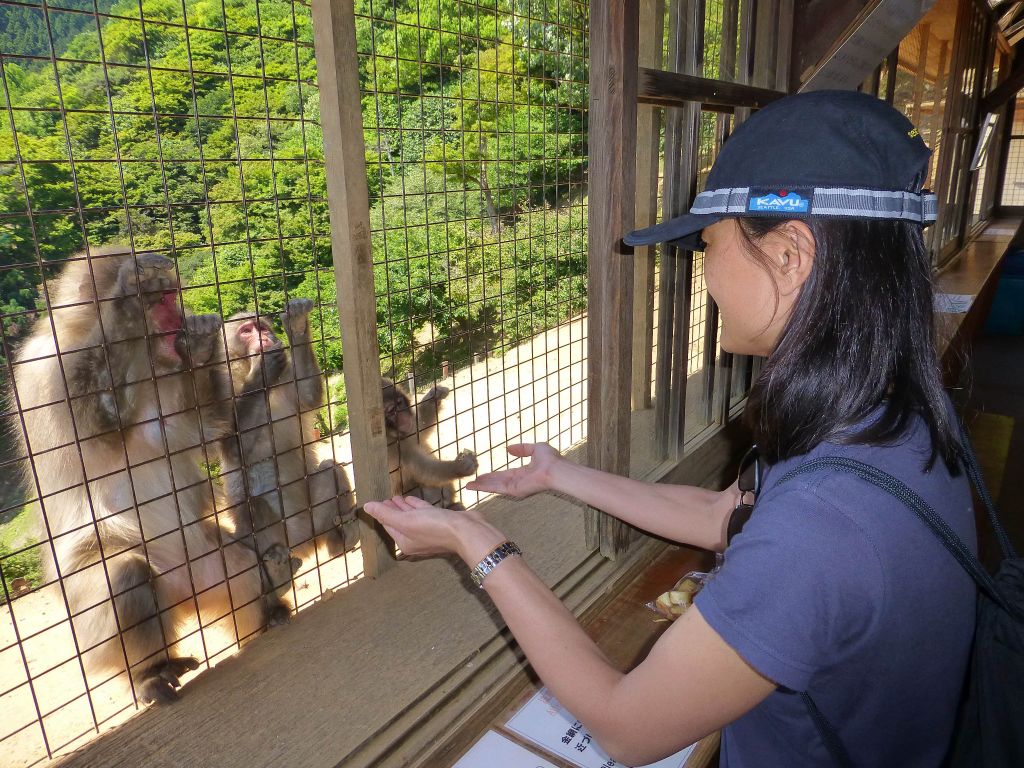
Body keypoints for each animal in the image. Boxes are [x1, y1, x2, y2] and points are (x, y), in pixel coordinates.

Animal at [9, 249, 268, 708]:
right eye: (162, 300)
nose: (177, 317)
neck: (140, 363)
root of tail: (183, 595)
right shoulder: (51, 373)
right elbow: (102, 422)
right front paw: (128, 302)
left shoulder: (166, 370)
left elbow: (193, 429)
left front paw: (208, 344)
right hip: (90, 607)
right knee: (126, 579)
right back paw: (148, 672)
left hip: (205, 564)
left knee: (241, 564)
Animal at [216, 299, 360, 602]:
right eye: (246, 330)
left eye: (261, 327)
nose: (263, 337)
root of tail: (301, 544)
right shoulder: (218, 388)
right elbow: (233, 447)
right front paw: (263, 369)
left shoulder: (288, 381)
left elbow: (307, 396)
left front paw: (296, 325)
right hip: (273, 539)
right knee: (252, 505)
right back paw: (278, 578)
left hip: (312, 521)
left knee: (331, 470)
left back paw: (341, 538)